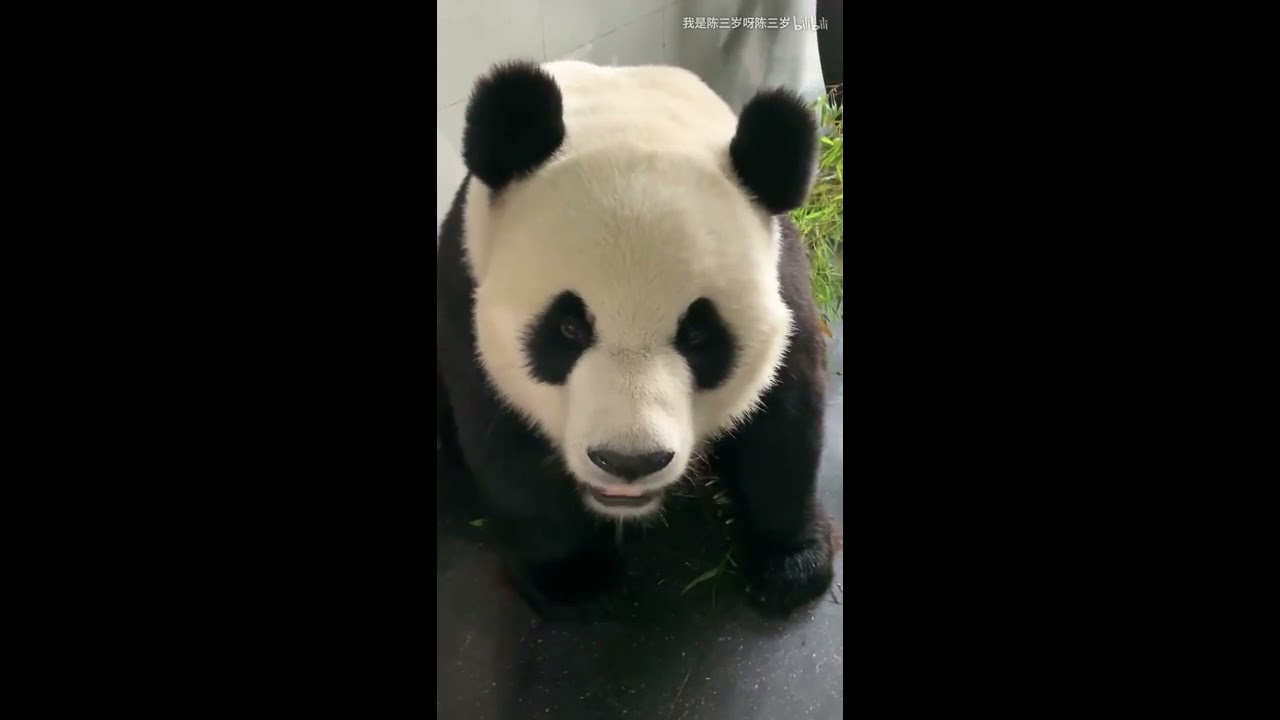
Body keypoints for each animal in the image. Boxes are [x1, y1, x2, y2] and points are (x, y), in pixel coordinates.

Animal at [437, 59, 835, 619]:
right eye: (568, 328)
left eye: (697, 334)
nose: (629, 462)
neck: (626, 113)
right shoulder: (466, 291)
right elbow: (506, 445)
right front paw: (573, 578)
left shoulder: (782, 279)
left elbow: (785, 418)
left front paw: (790, 565)